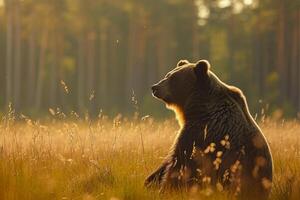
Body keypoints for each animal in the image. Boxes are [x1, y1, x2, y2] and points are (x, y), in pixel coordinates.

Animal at [144, 59, 274, 200]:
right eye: (168, 74)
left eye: (173, 78)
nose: (155, 87)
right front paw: (150, 180)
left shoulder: (202, 133)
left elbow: (181, 161)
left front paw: (165, 188)